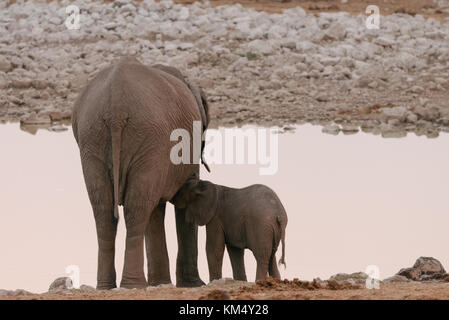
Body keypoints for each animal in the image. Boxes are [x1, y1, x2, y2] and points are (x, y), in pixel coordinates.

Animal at [71, 57, 208, 290]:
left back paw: (108, 286)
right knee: (136, 208)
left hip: (93, 138)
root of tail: (116, 104)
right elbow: (185, 198)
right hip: (147, 137)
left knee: (105, 209)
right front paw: (194, 285)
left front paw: (162, 283)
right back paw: (133, 285)